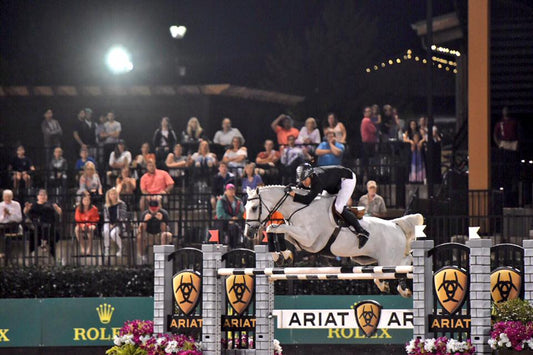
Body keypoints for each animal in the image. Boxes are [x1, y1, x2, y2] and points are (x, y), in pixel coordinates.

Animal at [243, 185, 422, 298]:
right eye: (245, 207)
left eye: (254, 208)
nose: (248, 233)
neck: (300, 208)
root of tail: (395, 224)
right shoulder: (298, 237)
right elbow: (275, 230)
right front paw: (282, 256)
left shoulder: (309, 238)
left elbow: (275, 228)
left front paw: (281, 255)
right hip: (369, 259)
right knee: (403, 262)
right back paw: (396, 287)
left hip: (389, 260)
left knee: (400, 266)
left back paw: (396, 287)